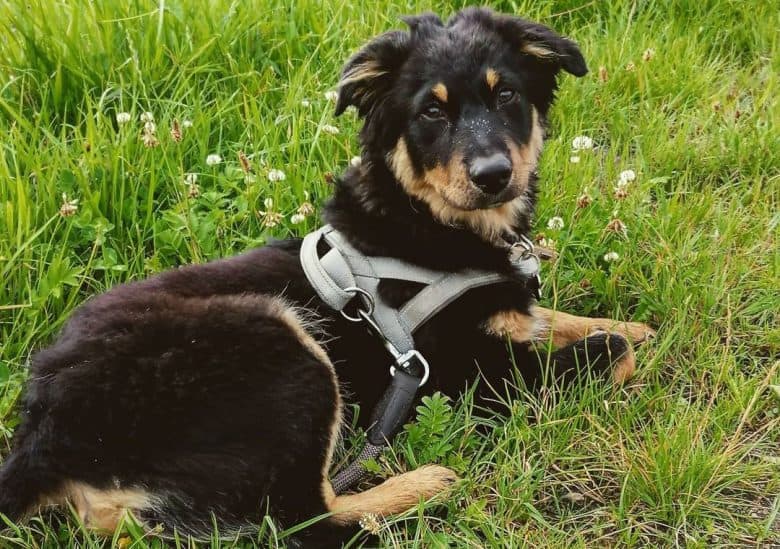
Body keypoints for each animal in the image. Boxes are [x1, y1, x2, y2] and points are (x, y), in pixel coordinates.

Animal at [0, 7, 656, 544]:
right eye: (431, 111)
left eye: (507, 97)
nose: (494, 175)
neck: (425, 220)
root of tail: (41, 438)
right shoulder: (467, 372)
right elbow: (606, 350)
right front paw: (624, 341)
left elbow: (558, 317)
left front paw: (640, 328)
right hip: (281, 341)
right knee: (303, 519)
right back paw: (424, 484)